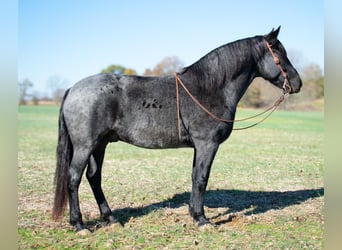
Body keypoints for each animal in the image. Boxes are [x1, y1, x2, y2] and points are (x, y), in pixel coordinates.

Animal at [51, 26, 302, 231]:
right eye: (278, 53)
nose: (297, 83)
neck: (210, 88)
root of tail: (73, 89)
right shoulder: (207, 144)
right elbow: (201, 178)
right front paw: (202, 219)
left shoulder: (198, 147)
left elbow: (194, 176)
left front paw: (194, 213)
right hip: (85, 146)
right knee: (74, 178)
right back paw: (79, 225)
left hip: (100, 145)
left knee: (94, 177)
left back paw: (110, 218)